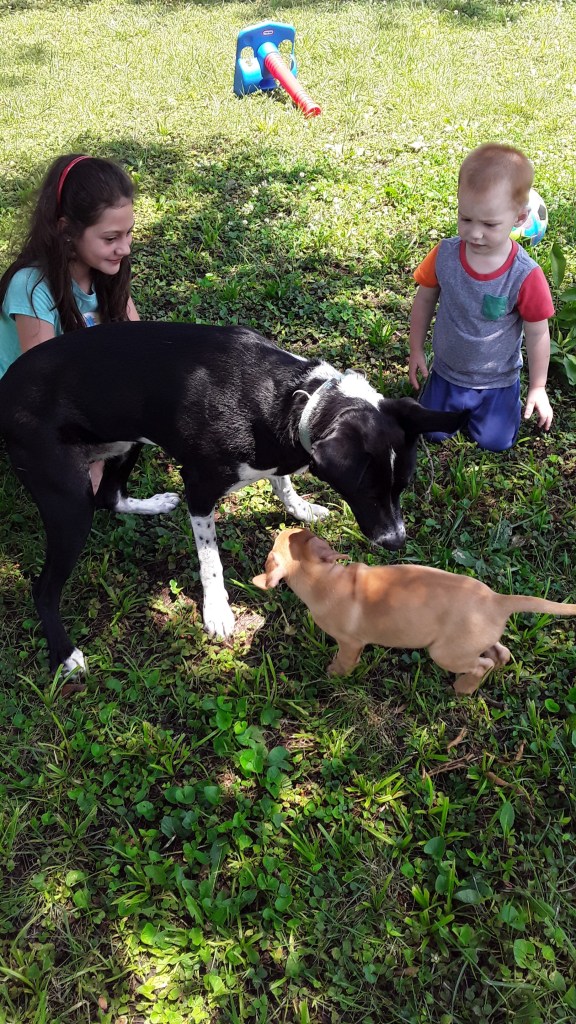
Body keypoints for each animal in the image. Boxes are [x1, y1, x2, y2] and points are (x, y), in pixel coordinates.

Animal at [0, 321, 465, 674]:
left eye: (402, 486)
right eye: (367, 490)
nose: (396, 542)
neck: (295, 400)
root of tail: (5, 388)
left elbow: (283, 483)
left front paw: (301, 508)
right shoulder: (200, 487)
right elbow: (211, 560)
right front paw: (218, 611)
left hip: (124, 443)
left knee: (109, 497)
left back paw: (153, 504)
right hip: (68, 504)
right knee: (44, 587)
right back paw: (65, 654)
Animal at [252, 528, 576, 694]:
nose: (282, 527)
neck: (326, 578)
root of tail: (498, 599)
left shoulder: (350, 643)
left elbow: (344, 661)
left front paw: (334, 674)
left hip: (446, 653)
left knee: (480, 664)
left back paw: (464, 687)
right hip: (476, 640)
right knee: (501, 654)